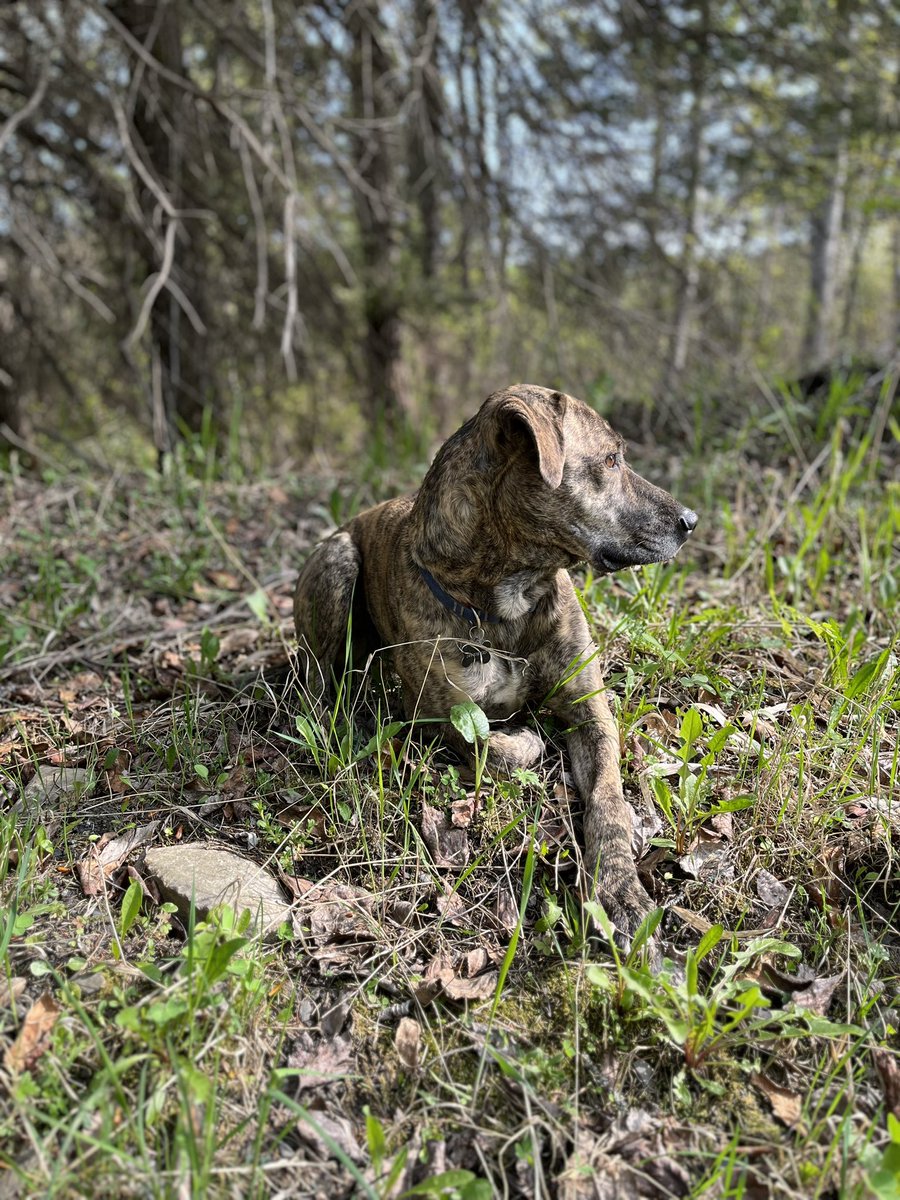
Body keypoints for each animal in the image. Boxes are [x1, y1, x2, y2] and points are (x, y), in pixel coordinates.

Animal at [296, 384, 696, 936]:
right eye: (611, 461)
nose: (691, 521)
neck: (509, 600)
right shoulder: (436, 717)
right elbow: (495, 746)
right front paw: (526, 739)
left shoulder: (590, 709)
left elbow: (609, 797)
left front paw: (618, 884)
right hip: (337, 564)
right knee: (317, 683)